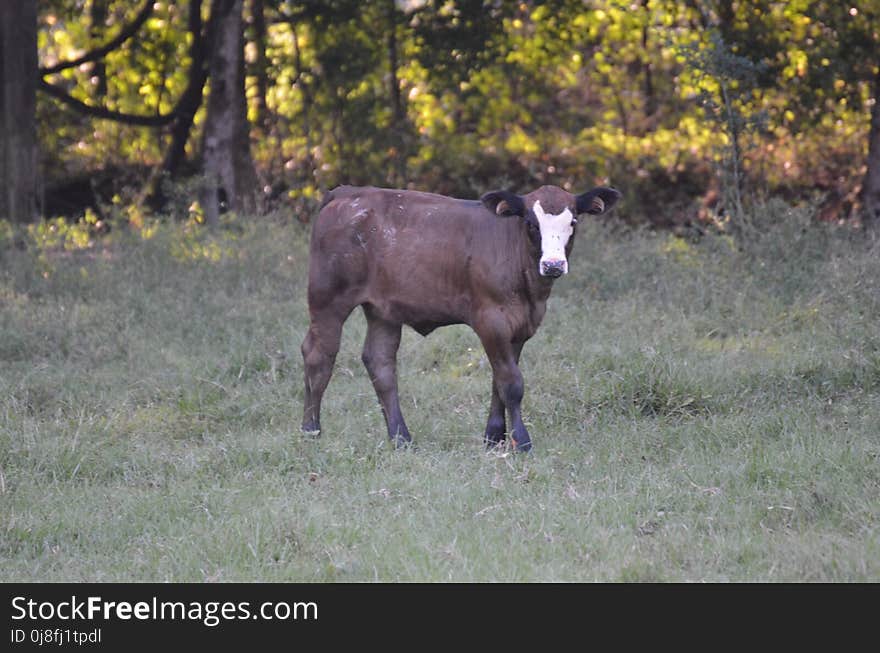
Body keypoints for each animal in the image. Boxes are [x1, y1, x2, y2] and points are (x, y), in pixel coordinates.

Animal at [302, 182, 620, 448]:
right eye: (531, 223)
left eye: (573, 222)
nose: (553, 264)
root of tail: (347, 192)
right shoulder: (490, 319)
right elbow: (511, 383)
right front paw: (521, 441)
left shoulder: (520, 325)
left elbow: (499, 380)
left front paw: (494, 437)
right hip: (328, 298)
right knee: (319, 355)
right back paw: (311, 431)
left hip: (384, 310)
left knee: (380, 361)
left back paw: (401, 438)